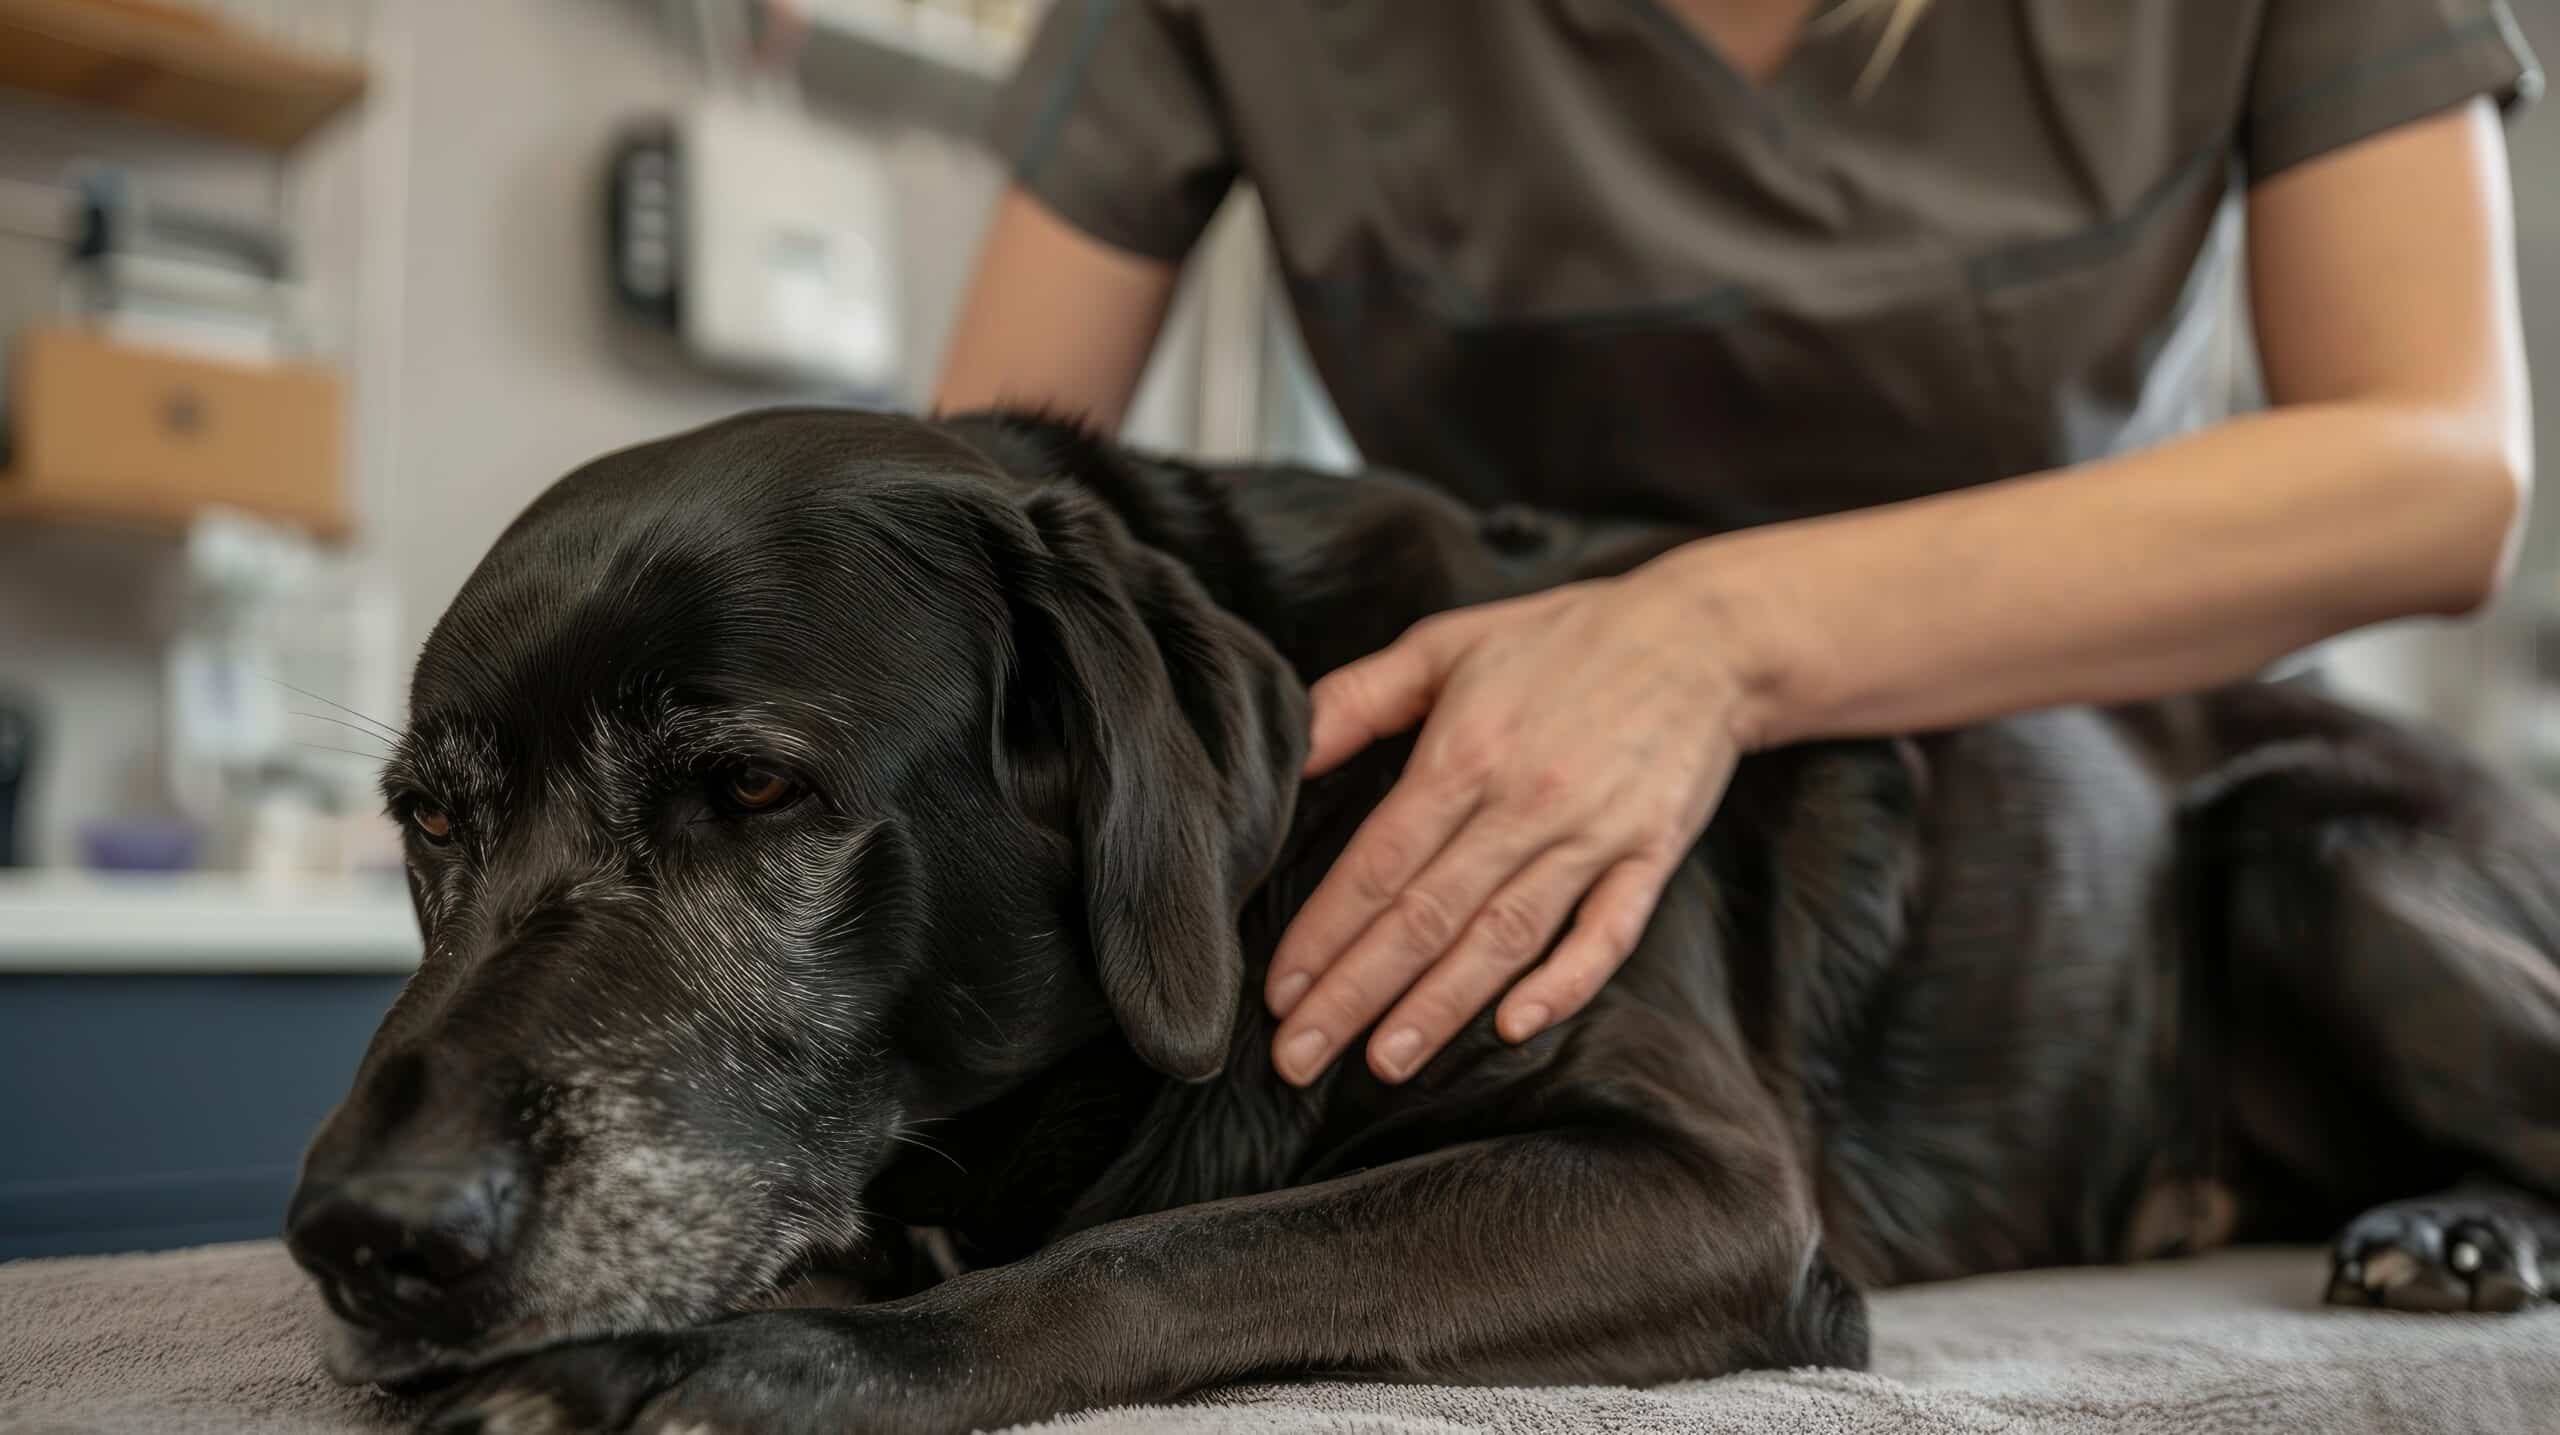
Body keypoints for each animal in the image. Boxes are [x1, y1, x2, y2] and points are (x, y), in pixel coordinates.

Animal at [285, 408, 2560, 1434]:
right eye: (426, 823)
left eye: (755, 791)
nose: (363, 1240)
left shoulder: (1700, 1180)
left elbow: (1184, 1249)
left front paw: (731, 1364)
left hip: (2306, 847)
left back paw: (2458, 1234)